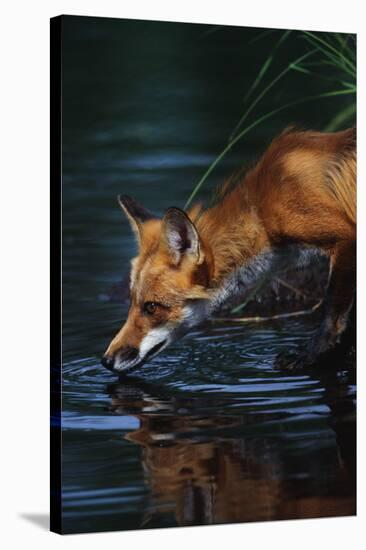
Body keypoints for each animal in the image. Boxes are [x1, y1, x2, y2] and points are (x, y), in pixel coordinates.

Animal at [101, 128, 356, 376]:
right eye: (132, 302)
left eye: (151, 307)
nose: (106, 360)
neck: (261, 211)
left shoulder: (345, 237)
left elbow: (332, 313)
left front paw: (309, 356)